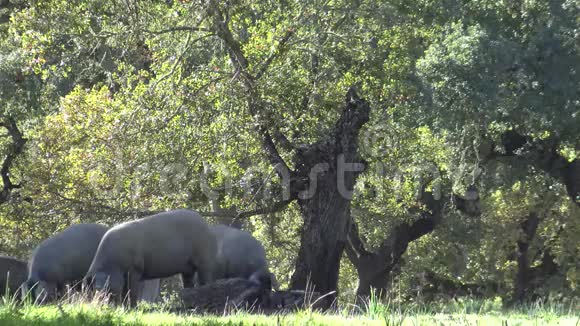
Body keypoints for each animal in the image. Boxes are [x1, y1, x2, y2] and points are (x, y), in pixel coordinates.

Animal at [87, 209, 219, 306]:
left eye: (108, 284)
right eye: (95, 284)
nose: (98, 303)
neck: (112, 264)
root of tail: (207, 225)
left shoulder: (135, 269)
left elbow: (131, 291)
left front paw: (132, 308)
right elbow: (125, 292)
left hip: (205, 258)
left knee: (206, 278)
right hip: (187, 268)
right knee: (188, 282)